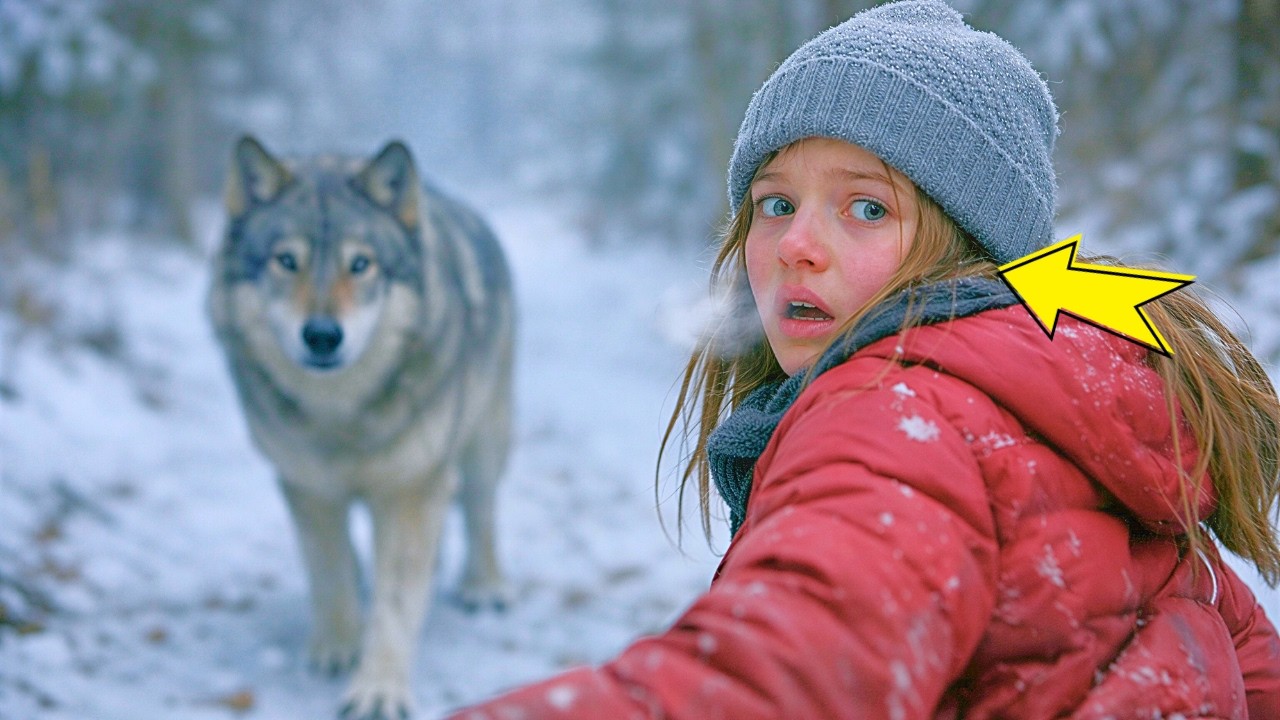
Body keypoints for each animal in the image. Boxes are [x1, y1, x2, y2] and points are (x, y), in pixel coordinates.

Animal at [207, 136, 514, 719]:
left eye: (360, 264)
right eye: (287, 261)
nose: (323, 336)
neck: (342, 417)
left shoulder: (413, 488)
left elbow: (396, 602)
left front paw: (378, 691)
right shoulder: (306, 486)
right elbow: (328, 571)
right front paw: (336, 646)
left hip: (484, 441)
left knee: (481, 509)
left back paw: (483, 586)